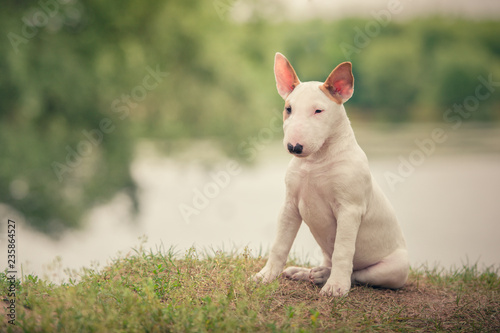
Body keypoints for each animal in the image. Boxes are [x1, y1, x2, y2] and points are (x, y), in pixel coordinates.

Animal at [252, 52, 408, 296]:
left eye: (318, 111)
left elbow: (343, 251)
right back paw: (304, 272)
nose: (294, 147)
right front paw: (265, 275)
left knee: (357, 273)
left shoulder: (349, 210)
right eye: (288, 109)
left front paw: (335, 288)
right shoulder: (289, 206)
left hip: (395, 268)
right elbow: (279, 244)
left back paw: (325, 277)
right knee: (330, 261)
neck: (315, 161)